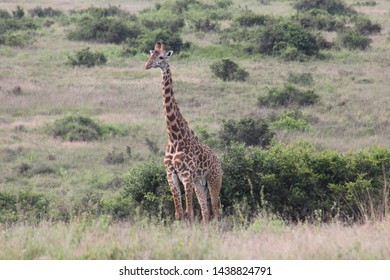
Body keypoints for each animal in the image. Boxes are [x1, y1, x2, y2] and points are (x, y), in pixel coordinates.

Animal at [144, 41, 222, 224]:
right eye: (150, 55)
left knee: (215, 211)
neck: (173, 137)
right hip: (199, 182)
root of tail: (219, 161)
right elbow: (179, 214)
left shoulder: (186, 175)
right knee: (206, 212)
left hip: (214, 179)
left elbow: (189, 212)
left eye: (161, 57)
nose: (147, 65)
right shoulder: (171, 174)